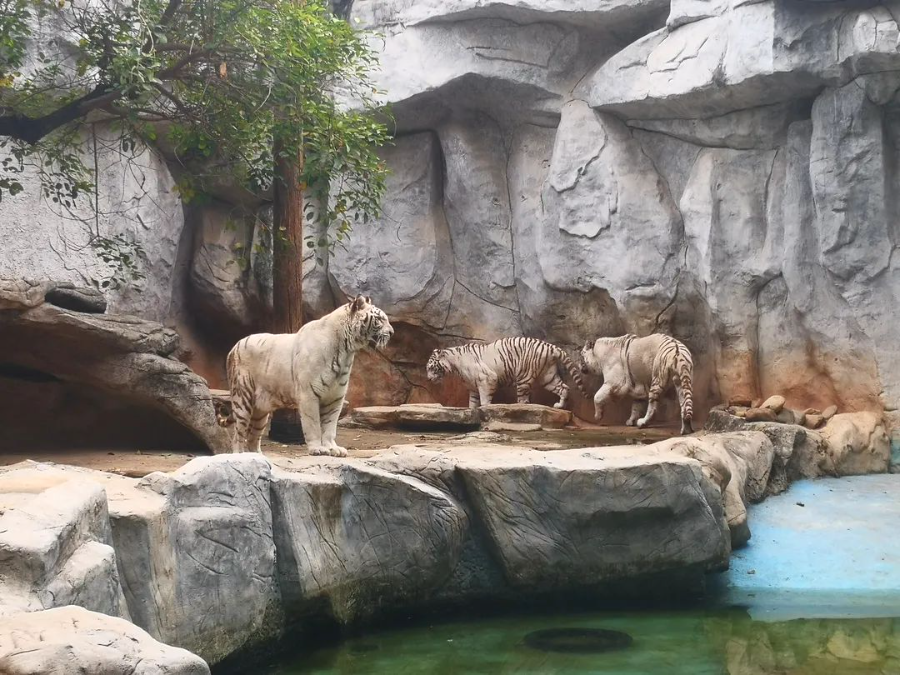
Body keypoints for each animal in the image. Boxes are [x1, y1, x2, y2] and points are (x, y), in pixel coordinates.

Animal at [220, 296, 393, 455]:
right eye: (379, 319)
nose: (392, 332)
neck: (345, 351)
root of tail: (233, 347)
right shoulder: (309, 394)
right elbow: (313, 423)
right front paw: (318, 449)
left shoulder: (335, 397)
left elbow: (330, 425)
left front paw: (333, 448)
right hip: (243, 397)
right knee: (238, 433)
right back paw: (240, 456)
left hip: (260, 410)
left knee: (253, 436)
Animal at [426, 337, 589, 409]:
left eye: (431, 368)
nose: (428, 379)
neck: (454, 365)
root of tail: (549, 346)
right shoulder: (473, 386)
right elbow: (473, 402)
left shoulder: (486, 379)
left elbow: (484, 400)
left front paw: (485, 409)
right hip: (547, 376)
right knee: (564, 387)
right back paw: (559, 405)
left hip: (524, 376)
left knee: (524, 400)